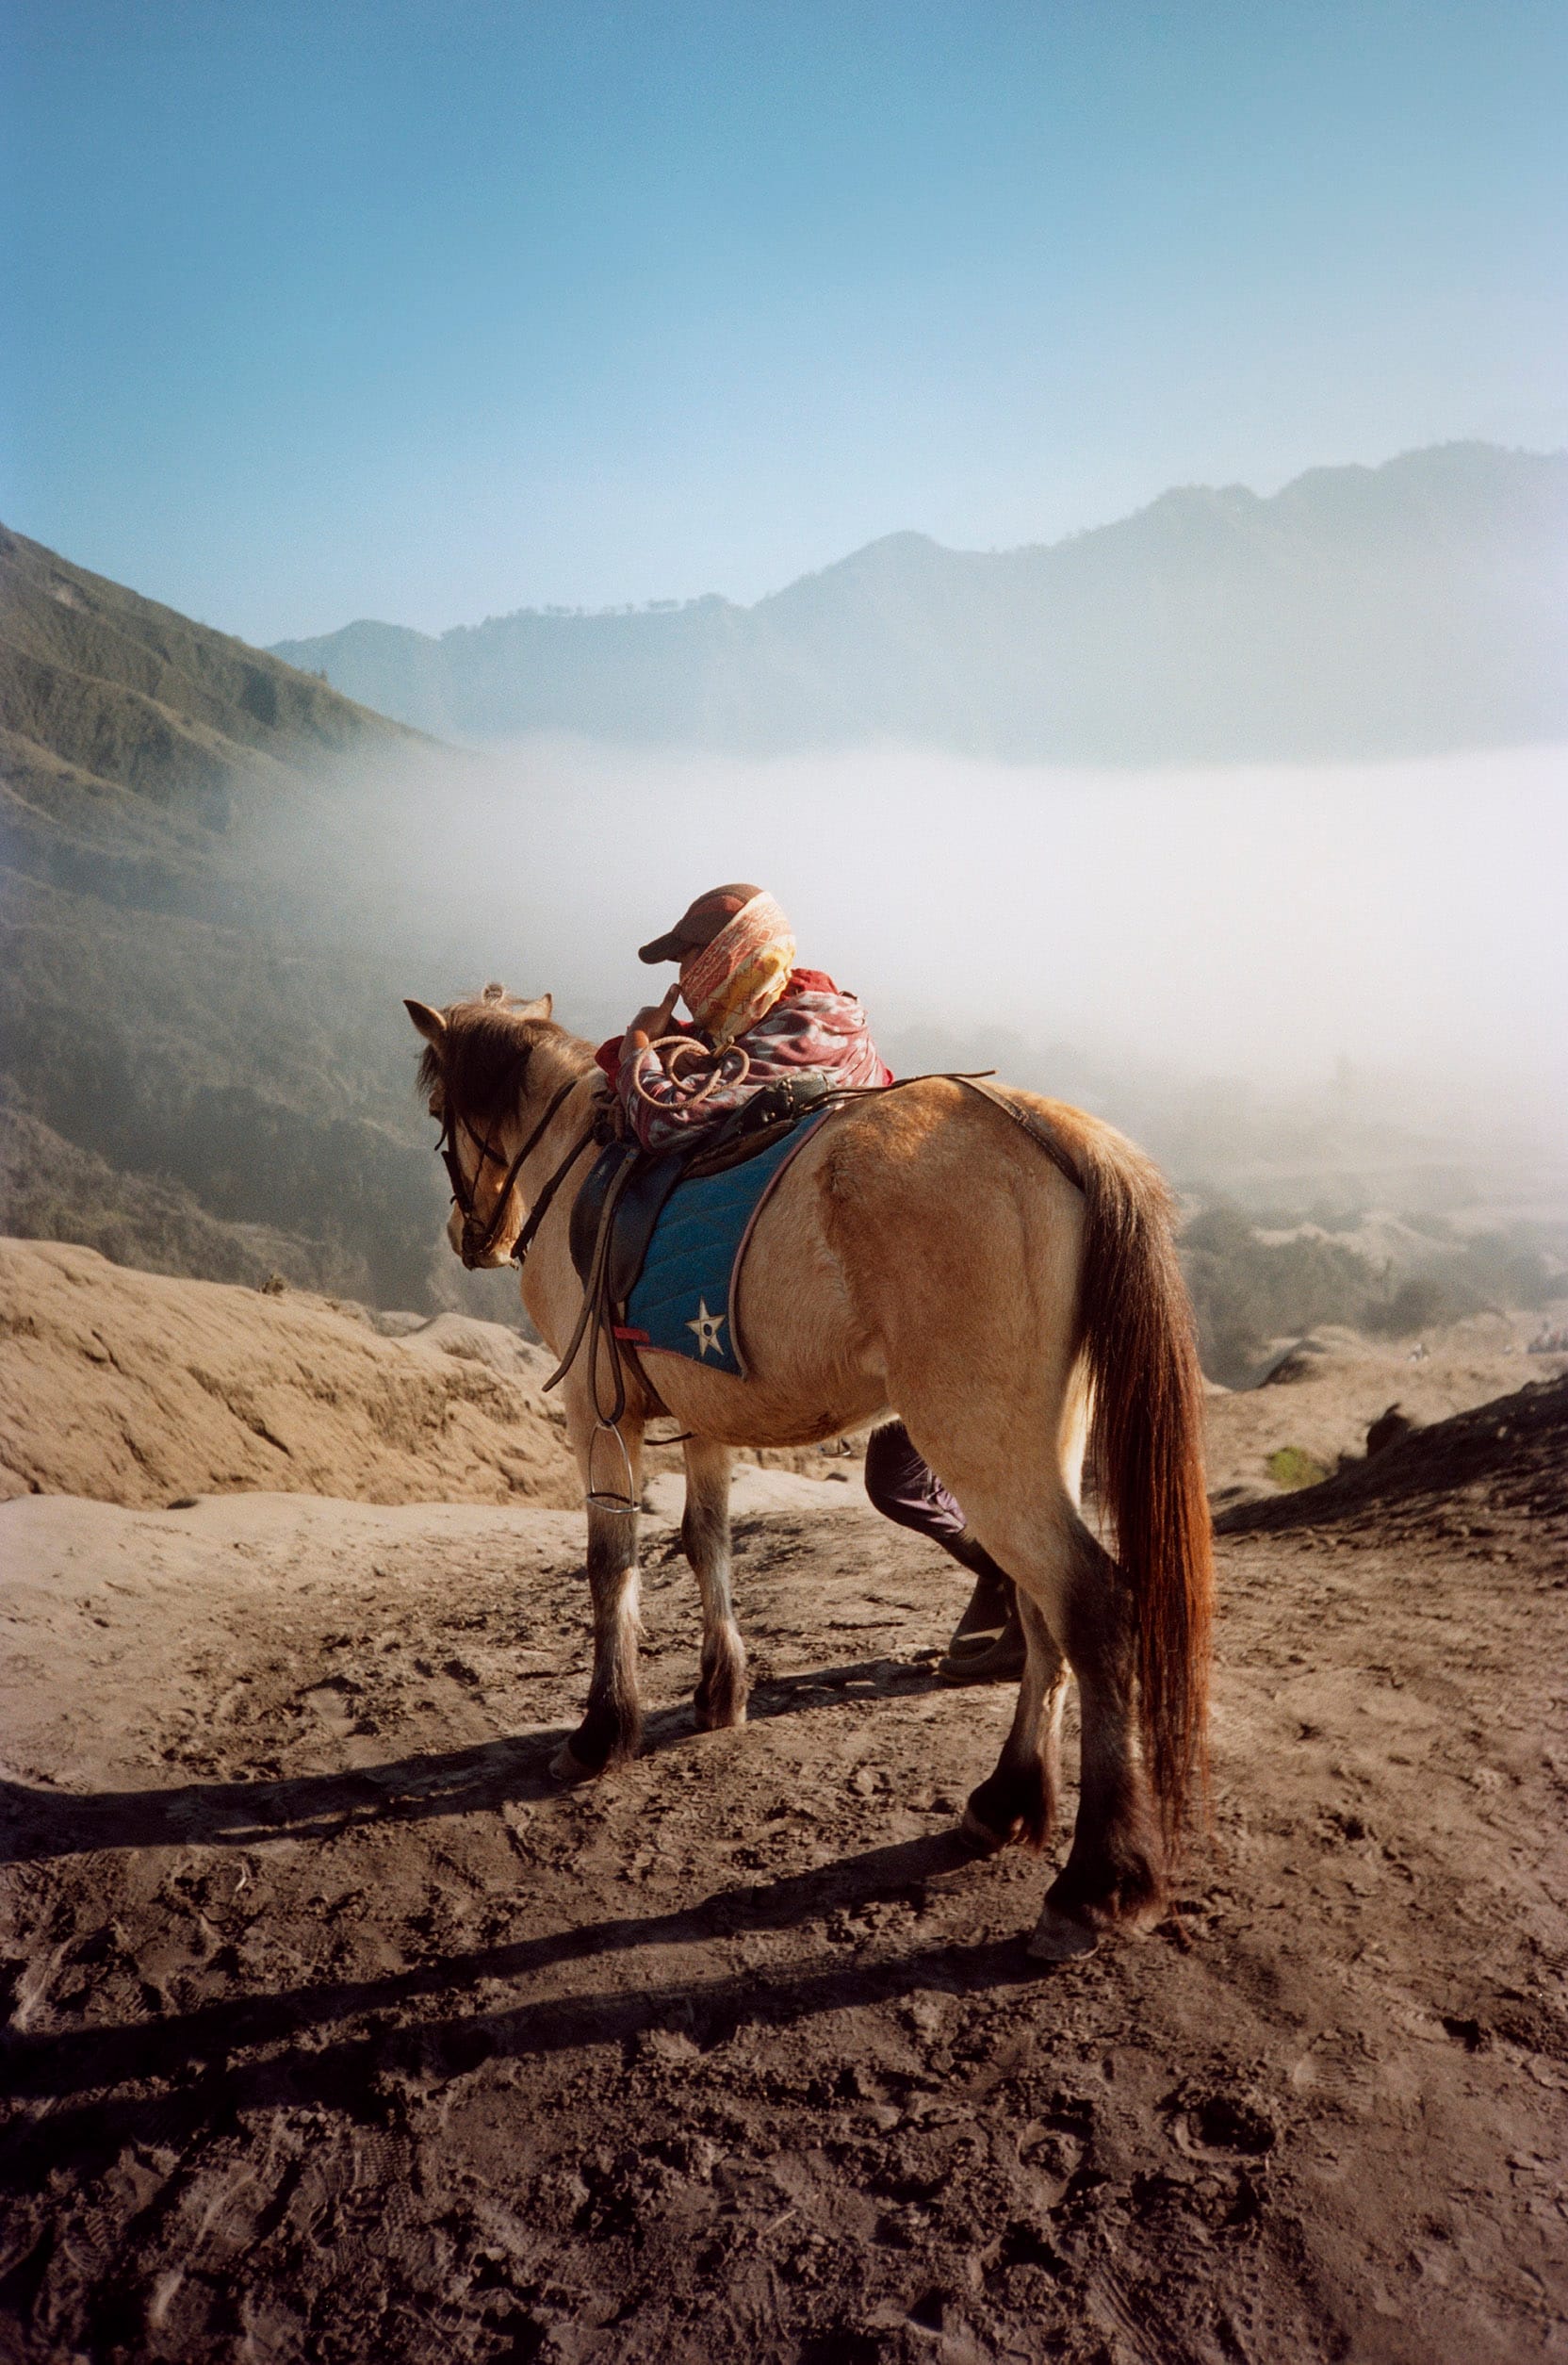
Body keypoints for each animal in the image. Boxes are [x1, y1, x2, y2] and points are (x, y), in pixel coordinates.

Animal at [404, 978, 1211, 1958]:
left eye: (442, 1112)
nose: (469, 1234)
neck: (583, 1165)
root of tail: (1053, 1130)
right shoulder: (703, 1420)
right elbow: (706, 1540)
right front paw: (721, 1691)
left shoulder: (599, 1416)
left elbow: (610, 1567)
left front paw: (602, 1731)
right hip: (1039, 1441)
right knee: (1040, 1607)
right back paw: (1008, 1800)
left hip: (981, 1443)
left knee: (1093, 1606)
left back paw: (1098, 1881)